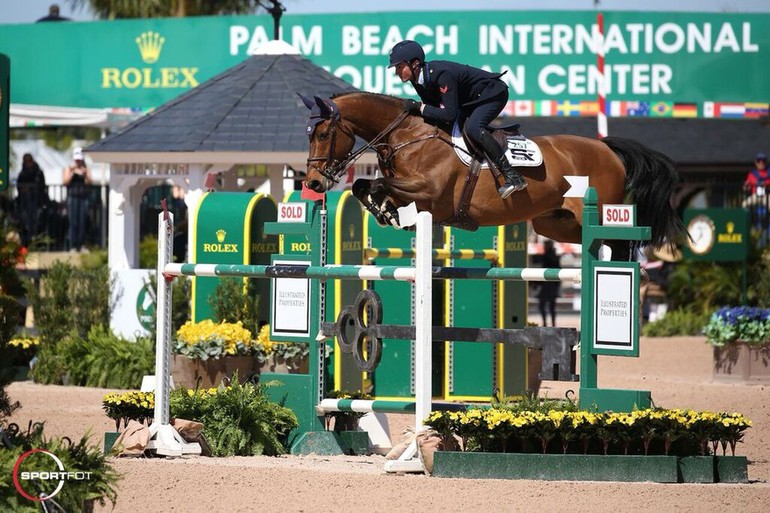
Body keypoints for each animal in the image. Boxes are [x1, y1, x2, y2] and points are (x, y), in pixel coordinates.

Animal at [300, 90, 684, 258]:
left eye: (324, 133)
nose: (314, 182)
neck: (406, 135)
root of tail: (608, 149)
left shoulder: (429, 192)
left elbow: (377, 183)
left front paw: (385, 211)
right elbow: (364, 185)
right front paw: (385, 211)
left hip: (600, 211)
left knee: (623, 241)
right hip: (555, 223)